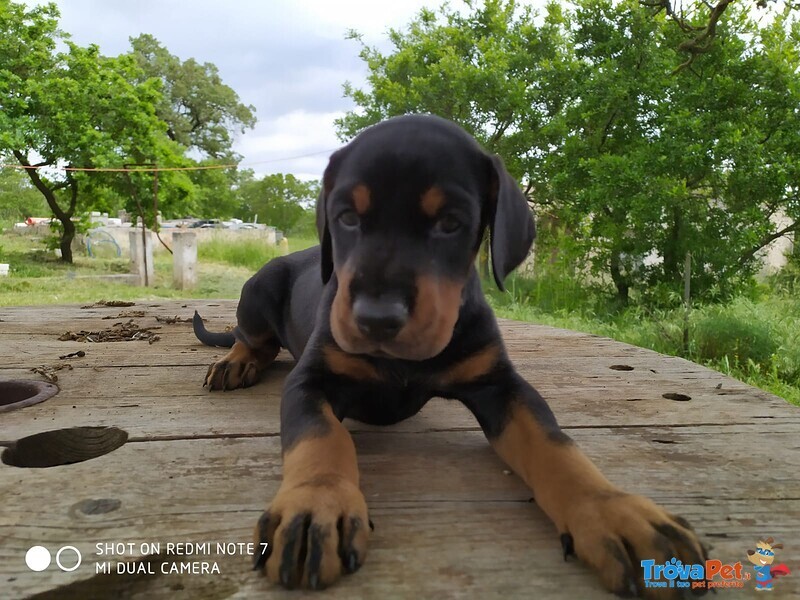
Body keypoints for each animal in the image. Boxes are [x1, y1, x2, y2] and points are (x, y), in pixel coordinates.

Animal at [194, 113, 708, 596]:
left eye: (450, 224)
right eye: (347, 217)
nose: (376, 319)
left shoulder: (501, 385)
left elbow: (555, 445)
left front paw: (614, 512)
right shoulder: (311, 380)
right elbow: (321, 437)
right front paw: (315, 507)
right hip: (258, 289)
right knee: (252, 338)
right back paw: (234, 362)